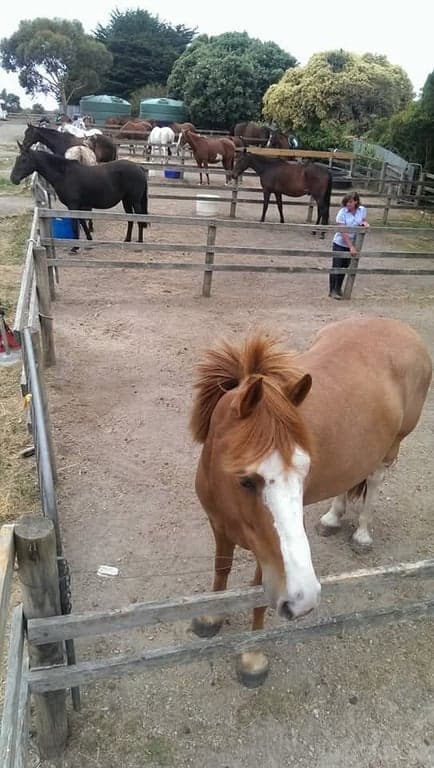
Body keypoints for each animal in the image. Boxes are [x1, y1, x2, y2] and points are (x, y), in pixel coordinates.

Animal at [11, 145, 148, 243]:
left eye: (24, 160)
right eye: (17, 159)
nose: (13, 178)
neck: (64, 174)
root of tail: (139, 168)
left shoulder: (73, 205)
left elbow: (75, 224)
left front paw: (75, 247)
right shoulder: (77, 206)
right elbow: (81, 221)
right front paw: (88, 239)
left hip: (134, 201)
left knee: (140, 218)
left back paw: (140, 242)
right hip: (126, 200)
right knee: (130, 219)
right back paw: (127, 240)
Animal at [190, 317, 432, 687]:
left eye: (304, 473)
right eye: (246, 480)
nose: (303, 601)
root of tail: (400, 327)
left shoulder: (269, 555)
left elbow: (257, 591)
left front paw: (252, 656)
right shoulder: (219, 525)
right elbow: (221, 570)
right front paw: (210, 618)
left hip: (392, 447)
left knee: (374, 481)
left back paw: (362, 535)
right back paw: (332, 518)